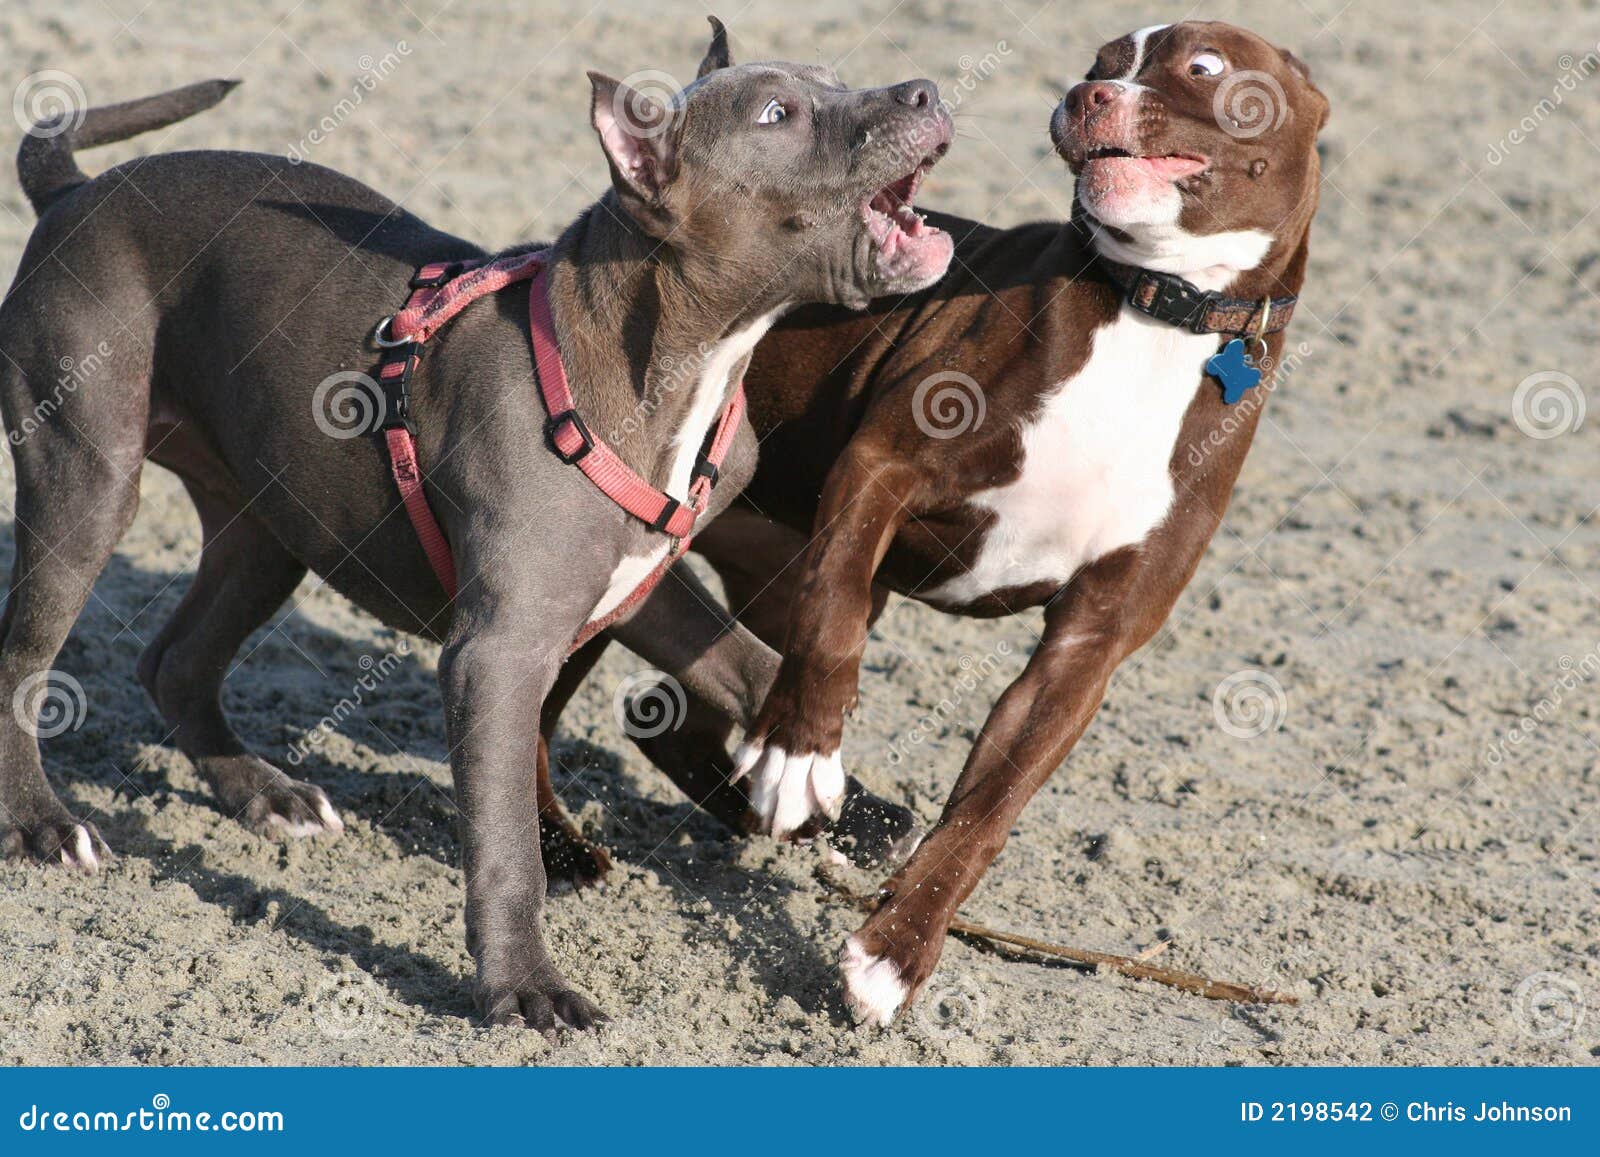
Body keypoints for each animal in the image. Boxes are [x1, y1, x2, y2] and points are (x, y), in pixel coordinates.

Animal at [0, 20, 947, 1030]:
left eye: (833, 79)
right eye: (778, 114)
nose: (927, 92)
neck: (672, 359)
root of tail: (75, 193)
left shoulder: (641, 585)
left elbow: (749, 662)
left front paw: (826, 781)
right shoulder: (497, 654)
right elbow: (507, 849)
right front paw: (525, 987)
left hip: (270, 525)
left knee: (175, 660)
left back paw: (267, 794)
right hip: (88, 480)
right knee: (26, 660)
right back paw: (44, 823)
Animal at [537, 22, 1324, 1024]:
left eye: (1202, 67)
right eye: (1106, 60)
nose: (1087, 96)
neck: (1156, 317)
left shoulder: (1087, 649)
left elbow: (989, 808)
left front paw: (897, 950)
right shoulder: (880, 474)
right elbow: (832, 634)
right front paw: (798, 755)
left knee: (664, 717)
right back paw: (572, 841)